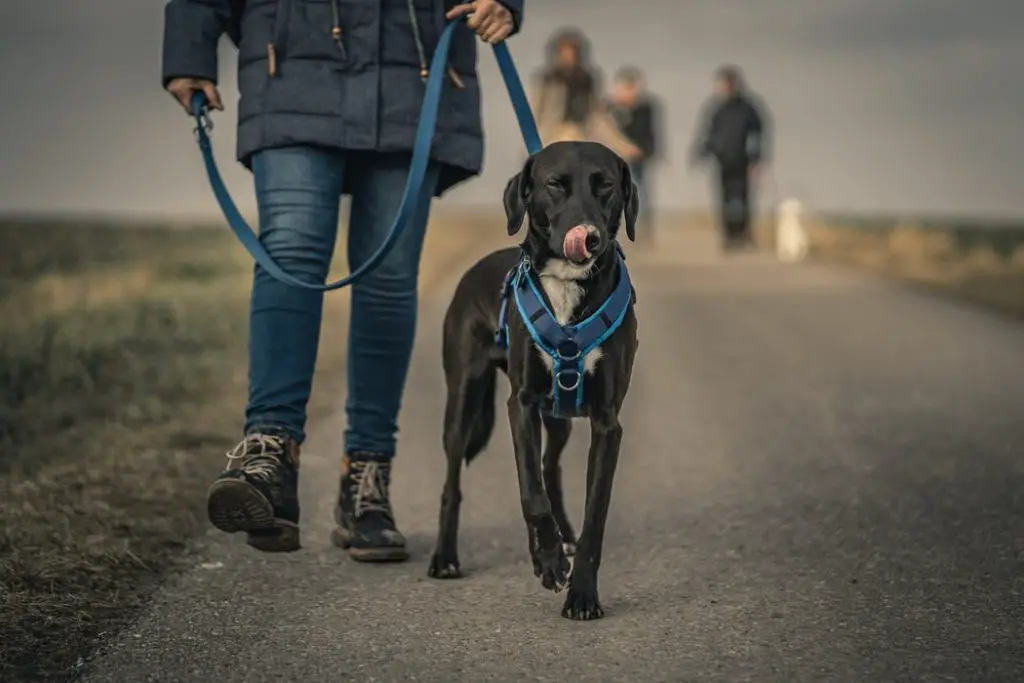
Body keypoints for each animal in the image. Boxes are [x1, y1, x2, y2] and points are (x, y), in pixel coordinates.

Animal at [425, 141, 634, 622]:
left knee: (548, 466)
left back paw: (558, 541)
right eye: (555, 184)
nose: (590, 236)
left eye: (605, 185)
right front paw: (551, 562)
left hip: (558, 417)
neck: (568, 286)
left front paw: (582, 593)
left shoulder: (607, 423)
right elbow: (529, 495)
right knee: (455, 483)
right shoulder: (519, 405)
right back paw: (446, 557)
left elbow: (593, 513)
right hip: (463, 403)